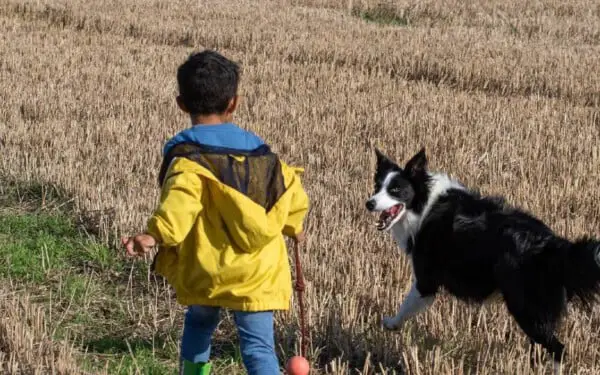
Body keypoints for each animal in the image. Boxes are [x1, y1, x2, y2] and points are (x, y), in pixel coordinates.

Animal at [366, 148, 600, 374]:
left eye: (395, 190)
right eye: (377, 186)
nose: (369, 203)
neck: (423, 205)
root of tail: (551, 244)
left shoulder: (426, 280)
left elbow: (406, 304)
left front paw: (391, 323)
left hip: (524, 307)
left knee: (558, 348)